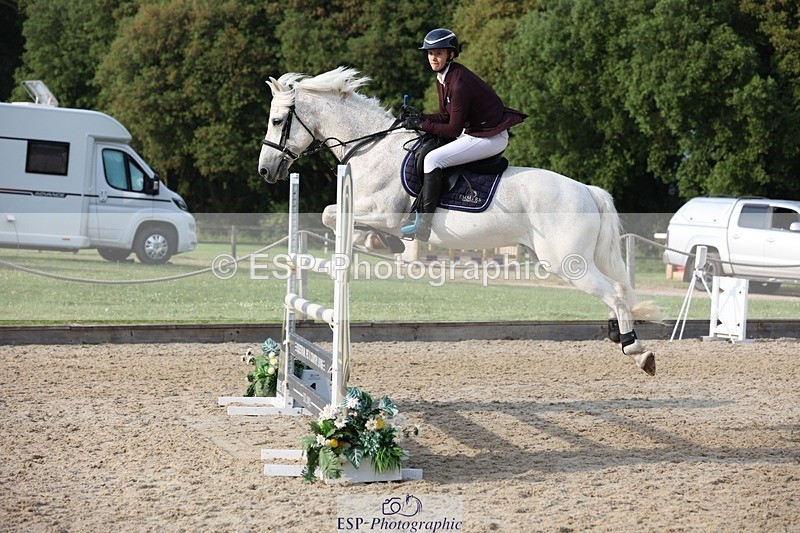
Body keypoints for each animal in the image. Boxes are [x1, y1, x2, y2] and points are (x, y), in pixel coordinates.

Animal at [258, 66, 660, 375]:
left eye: (277, 121)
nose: (265, 171)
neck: (370, 147)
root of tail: (588, 190)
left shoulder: (383, 211)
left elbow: (331, 215)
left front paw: (382, 241)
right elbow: (347, 227)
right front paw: (381, 243)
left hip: (566, 262)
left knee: (616, 293)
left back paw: (637, 351)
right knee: (616, 291)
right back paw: (621, 336)